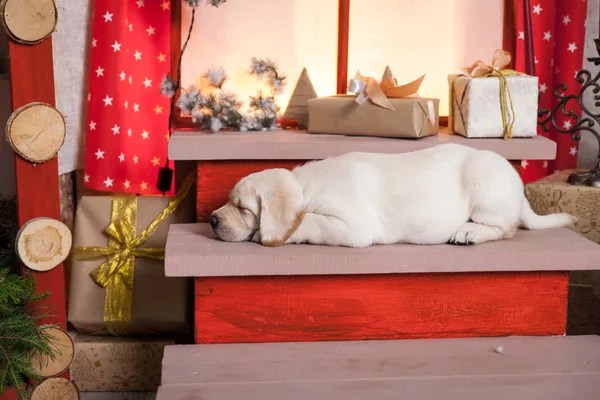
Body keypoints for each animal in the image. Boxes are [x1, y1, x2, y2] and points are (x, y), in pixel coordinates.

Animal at [209, 144, 576, 247]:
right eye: (229, 201)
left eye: (242, 208)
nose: (212, 219)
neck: (306, 186)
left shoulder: (354, 227)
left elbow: (308, 222)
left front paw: (264, 233)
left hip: (484, 180)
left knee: (505, 228)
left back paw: (469, 231)